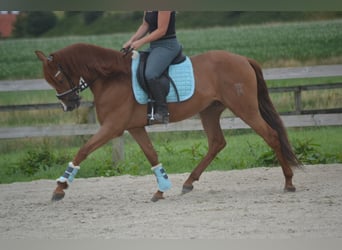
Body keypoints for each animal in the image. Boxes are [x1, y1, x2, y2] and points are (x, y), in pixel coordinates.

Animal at [35, 43, 300, 202]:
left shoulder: (112, 127)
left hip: (244, 108)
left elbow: (83, 150)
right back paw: (188, 183)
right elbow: (151, 155)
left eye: (58, 77)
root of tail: (242, 58)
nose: (68, 105)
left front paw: (60, 187)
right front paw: (161, 188)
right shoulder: (134, 127)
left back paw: (288, 183)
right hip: (210, 111)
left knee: (271, 135)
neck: (111, 77)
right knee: (217, 143)